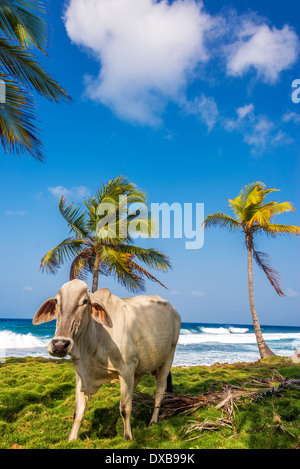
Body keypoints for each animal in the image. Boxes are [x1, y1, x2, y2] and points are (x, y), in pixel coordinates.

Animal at [34, 280, 182, 440]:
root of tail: (174, 310)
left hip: (169, 356)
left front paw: (128, 437)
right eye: (56, 301)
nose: (60, 344)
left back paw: (153, 421)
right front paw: (71, 439)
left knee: (160, 390)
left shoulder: (127, 370)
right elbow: (78, 411)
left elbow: (124, 408)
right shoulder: (80, 375)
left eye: (85, 301)